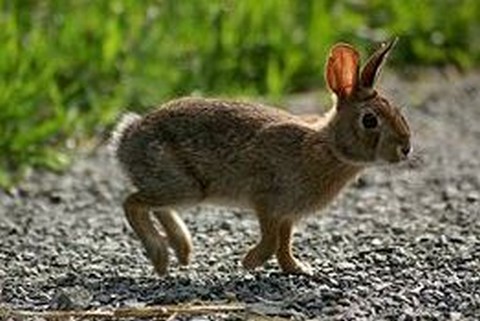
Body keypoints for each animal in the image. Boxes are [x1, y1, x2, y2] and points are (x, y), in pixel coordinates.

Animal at [110, 38, 410, 276]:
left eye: (398, 111)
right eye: (369, 120)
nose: (405, 148)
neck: (328, 146)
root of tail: (126, 138)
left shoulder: (288, 214)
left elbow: (285, 244)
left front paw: (298, 269)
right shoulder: (266, 200)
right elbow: (271, 241)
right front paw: (249, 262)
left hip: (180, 188)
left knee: (154, 206)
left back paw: (182, 251)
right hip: (185, 186)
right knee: (132, 203)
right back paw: (161, 257)